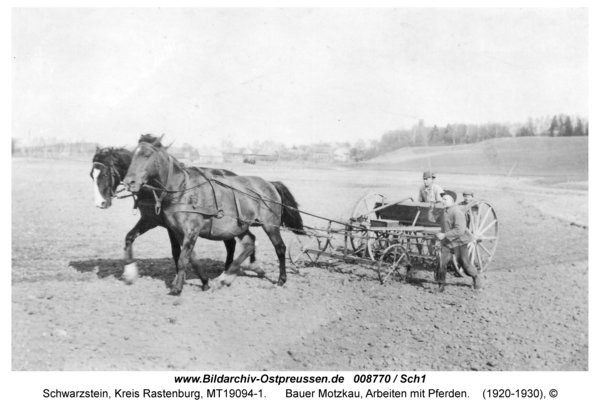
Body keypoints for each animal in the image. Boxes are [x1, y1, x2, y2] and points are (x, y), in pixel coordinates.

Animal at [122, 135, 304, 294]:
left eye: (146, 155)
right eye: (132, 155)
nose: (129, 182)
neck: (182, 190)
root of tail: (269, 183)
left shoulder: (191, 230)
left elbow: (182, 258)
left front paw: (177, 288)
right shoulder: (175, 230)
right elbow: (190, 258)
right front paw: (204, 282)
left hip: (270, 224)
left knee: (279, 248)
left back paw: (280, 279)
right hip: (239, 226)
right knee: (249, 242)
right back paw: (227, 277)